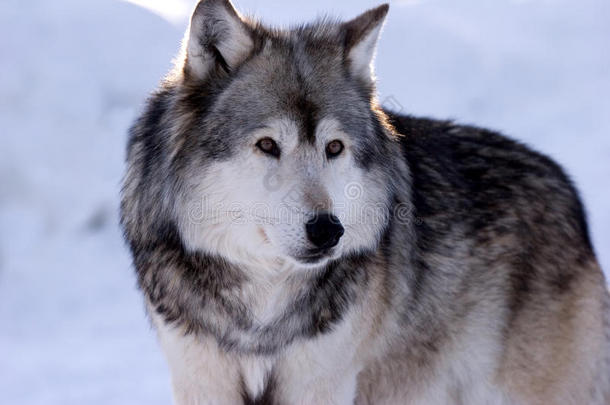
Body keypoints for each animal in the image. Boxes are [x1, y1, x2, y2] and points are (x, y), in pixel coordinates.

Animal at [120, 1, 608, 402]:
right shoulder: (200, 378)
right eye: (267, 145)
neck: (261, 315)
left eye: (334, 148)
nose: (327, 229)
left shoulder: (322, 384)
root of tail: (568, 190)